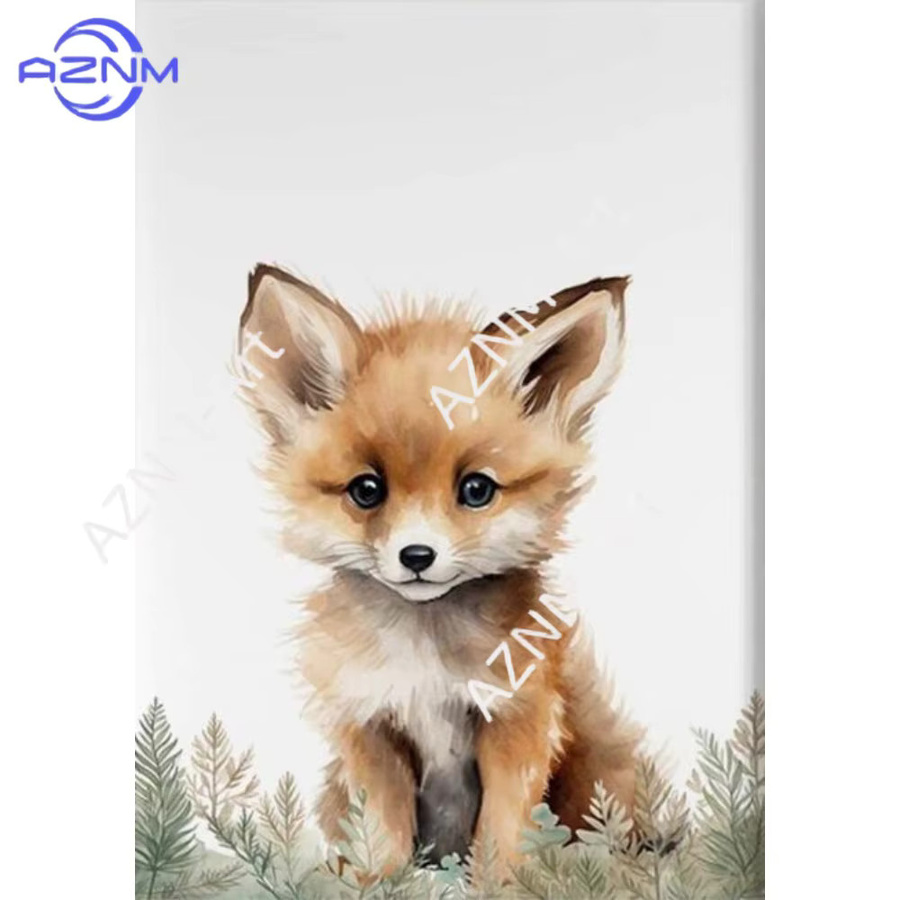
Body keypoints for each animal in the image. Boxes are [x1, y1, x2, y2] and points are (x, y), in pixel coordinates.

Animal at [237, 264, 644, 875]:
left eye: (476, 489)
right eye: (367, 490)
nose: (417, 556)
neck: (424, 662)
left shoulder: (518, 718)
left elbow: (502, 833)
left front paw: (501, 884)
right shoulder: (369, 726)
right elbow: (382, 832)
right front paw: (378, 881)